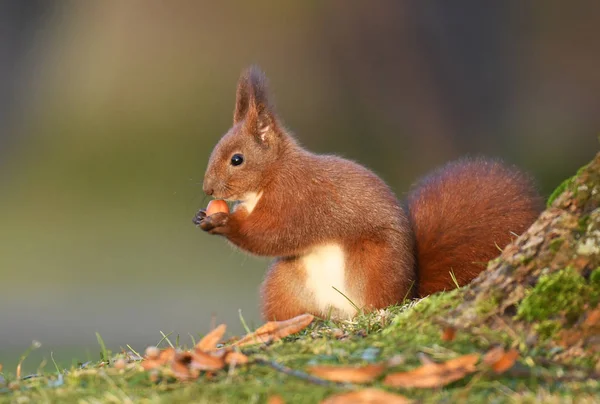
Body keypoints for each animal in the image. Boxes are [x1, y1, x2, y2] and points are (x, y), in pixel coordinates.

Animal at [193, 66, 544, 320]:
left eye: (237, 159)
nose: (207, 189)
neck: (272, 177)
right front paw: (203, 216)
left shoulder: (298, 200)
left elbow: (272, 234)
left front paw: (224, 223)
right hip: (286, 283)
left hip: (372, 265)